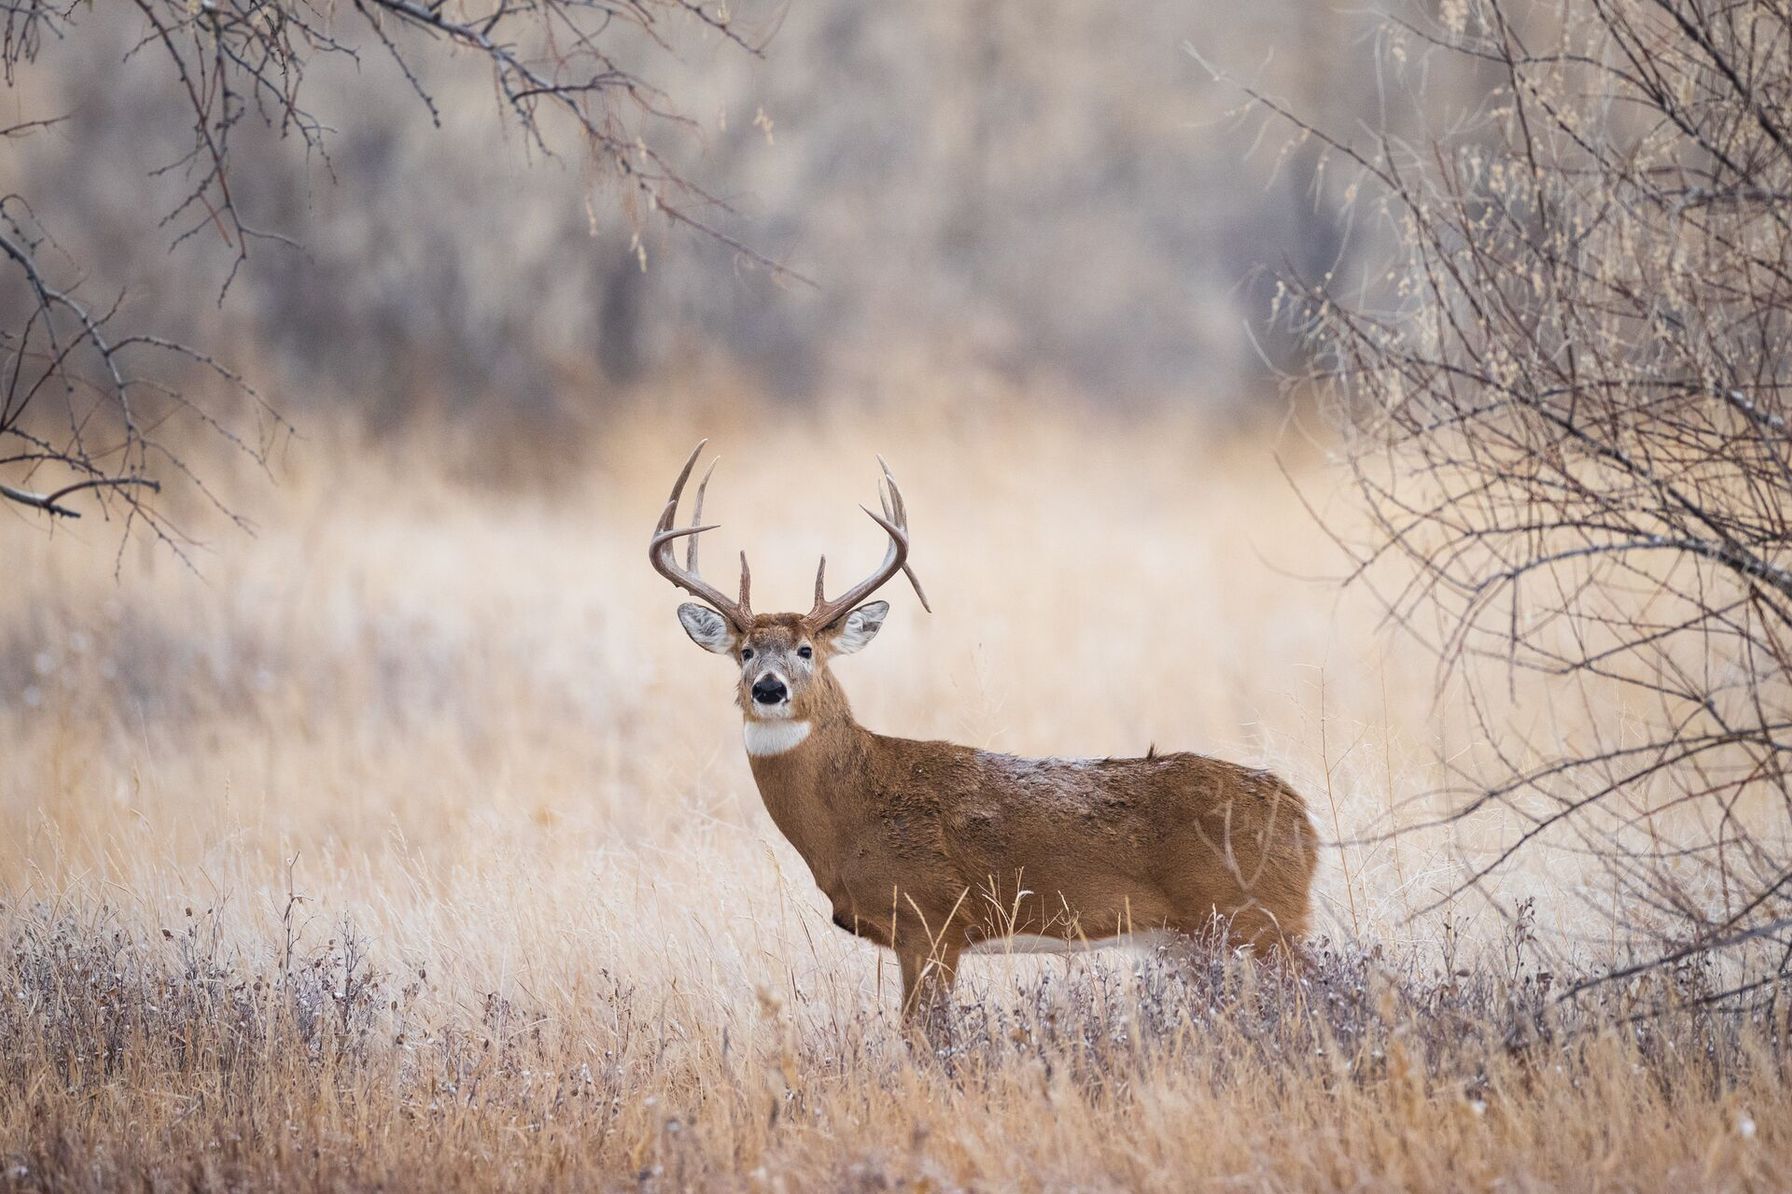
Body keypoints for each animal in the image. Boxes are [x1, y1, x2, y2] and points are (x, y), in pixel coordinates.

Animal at [649, 441, 1319, 1028]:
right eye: (744, 652)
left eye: (807, 650)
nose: (768, 688)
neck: (853, 811)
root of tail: (1303, 819)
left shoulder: (932, 919)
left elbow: (921, 1037)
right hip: (1195, 939)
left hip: (1260, 918)